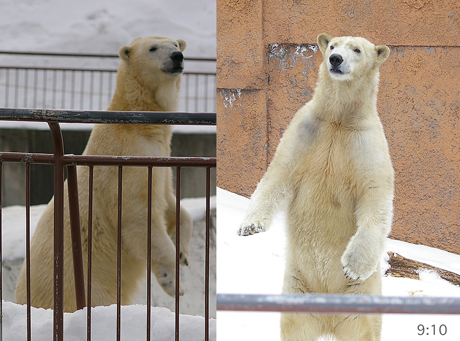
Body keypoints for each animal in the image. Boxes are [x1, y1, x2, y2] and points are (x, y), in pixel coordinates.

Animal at [14, 35, 192, 312]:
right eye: (152, 48)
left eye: (175, 44)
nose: (177, 57)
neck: (137, 125)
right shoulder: (127, 160)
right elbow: (137, 215)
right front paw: (174, 283)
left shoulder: (161, 156)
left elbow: (171, 203)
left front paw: (182, 250)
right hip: (88, 285)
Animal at [239, 33, 394, 338]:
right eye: (332, 45)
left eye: (357, 49)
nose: (335, 59)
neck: (339, 119)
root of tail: (327, 317)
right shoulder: (307, 129)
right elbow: (278, 173)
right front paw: (250, 226)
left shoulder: (366, 143)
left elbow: (375, 197)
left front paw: (353, 265)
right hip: (296, 288)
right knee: (294, 328)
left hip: (360, 300)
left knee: (363, 331)